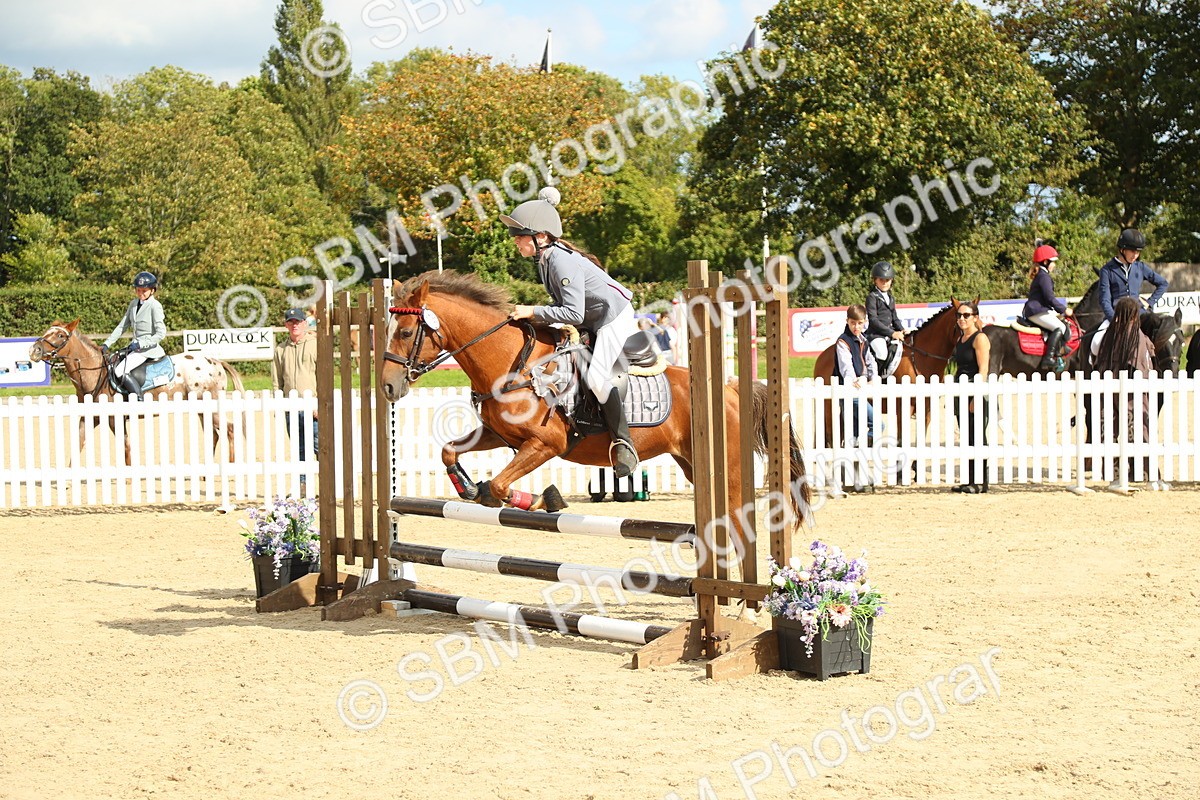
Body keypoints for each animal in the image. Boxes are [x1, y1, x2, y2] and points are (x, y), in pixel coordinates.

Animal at [28, 319, 246, 464]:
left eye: (60, 335)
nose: (34, 350)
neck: (95, 373)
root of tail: (216, 361)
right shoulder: (89, 417)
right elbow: (78, 443)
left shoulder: (115, 419)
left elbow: (125, 447)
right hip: (202, 409)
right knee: (214, 434)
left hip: (211, 407)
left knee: (230, 430)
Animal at [378, 270, 810, 544]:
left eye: (405, 332)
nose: (387, 386)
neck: (512, 363)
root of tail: (732, 390)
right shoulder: (499, 434)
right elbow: (449, 452)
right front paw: (470, 487)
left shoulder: (546, 444)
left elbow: (500, 485)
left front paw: (543, 499)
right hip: (692, 463)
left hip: (728, 468)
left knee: (738, 522)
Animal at [811, 298, 969, 444]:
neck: (919, 357)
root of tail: (822, 357)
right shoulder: (904, 407)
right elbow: (901, 440)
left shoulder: (927, 408)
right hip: (829, 406)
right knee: (831, 438)